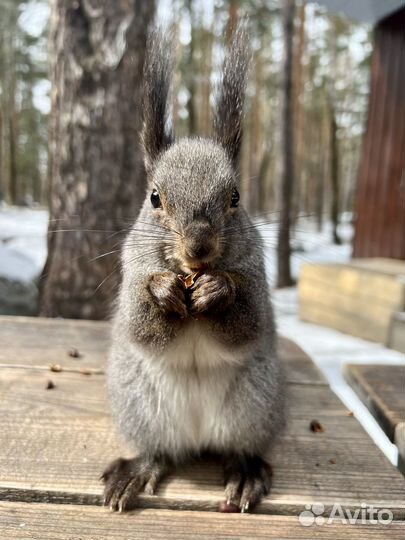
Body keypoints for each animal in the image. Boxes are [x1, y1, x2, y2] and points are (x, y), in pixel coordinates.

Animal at [102, 25, 286, 516]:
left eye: (236, 197)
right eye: (154, 197)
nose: (199, 247)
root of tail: (199, 437)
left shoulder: (256, 276)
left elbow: (249, 322)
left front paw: (217, 291)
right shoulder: (131, 272)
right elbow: (140, 324)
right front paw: (163, 290)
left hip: (256, 402)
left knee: (238, 447)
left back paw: (243, 472)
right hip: (140, 406)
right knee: (159, 452)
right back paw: (137, 470)